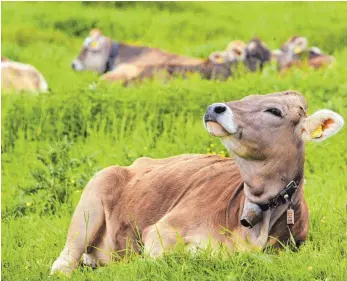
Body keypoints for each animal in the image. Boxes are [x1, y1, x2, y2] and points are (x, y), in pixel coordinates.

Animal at [51, 89, 346, 274]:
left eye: (274, 110)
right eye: (247, 98)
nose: (214, 108)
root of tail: (136, 163)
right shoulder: (161, 231)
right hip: (90, 200)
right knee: (64, 263)